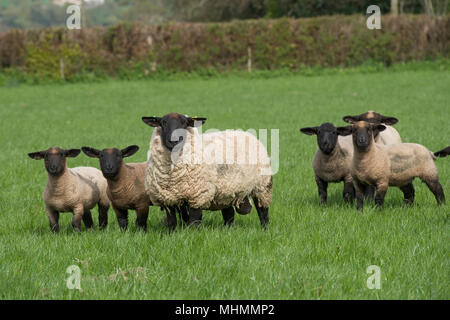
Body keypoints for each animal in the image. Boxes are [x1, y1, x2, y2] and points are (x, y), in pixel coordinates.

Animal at [142, 112, 272, 230]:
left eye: (184, 123)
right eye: (163, 123)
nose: (174, 140)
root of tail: (246, 133)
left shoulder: (198, 195)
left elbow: (194, 221)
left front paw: (192, 234)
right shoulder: (167, 199)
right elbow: (172, 221)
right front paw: (172, 234)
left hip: (263, 186)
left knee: (263, 212)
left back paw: (265, 229)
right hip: (226, 190)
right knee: (229, 213)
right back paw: (228, 229)